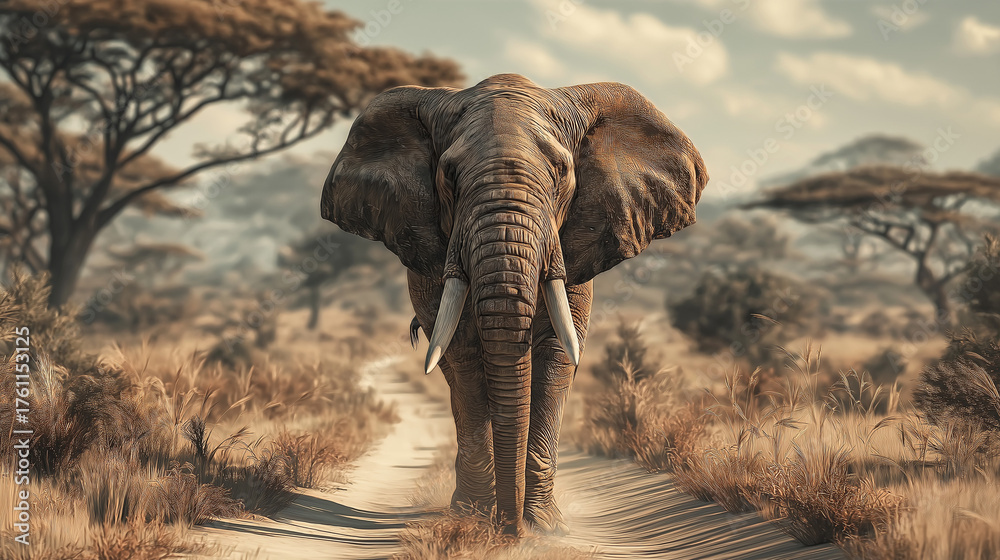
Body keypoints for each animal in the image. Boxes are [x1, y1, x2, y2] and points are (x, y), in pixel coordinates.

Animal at [320, 74, 708, 536]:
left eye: (561, 172)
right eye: (448, 174)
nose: (511, 530)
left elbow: (558, 354)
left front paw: (544, 526)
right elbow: (464, 356)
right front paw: (476, 518)